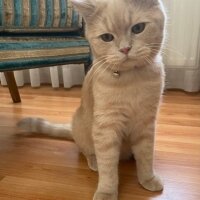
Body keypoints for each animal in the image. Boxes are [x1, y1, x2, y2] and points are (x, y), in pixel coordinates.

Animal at [17, 0, 166, 200]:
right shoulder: (106, 128)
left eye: (138, 28)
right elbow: (108, 166)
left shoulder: (146, 123)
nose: (125, 49)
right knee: (88, 151)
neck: (132, 80)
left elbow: (146, 155)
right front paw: (106, 191)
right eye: (107, 37)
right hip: (85, 133)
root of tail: (72, 128)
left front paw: (147, 178)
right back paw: (94, 162)